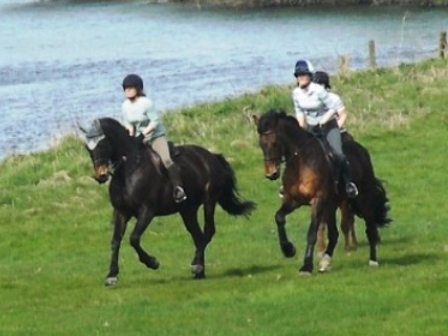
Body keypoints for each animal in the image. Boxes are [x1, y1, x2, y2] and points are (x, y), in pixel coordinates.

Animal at [81, 117, 256, 284]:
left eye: (102, 144)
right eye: (87, 148)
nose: (100, 175)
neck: (129, 169)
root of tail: (212, 156)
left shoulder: (147, 211)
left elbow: (134, 238)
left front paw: (152, 262)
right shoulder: (121, 212)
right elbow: (116, 241)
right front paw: (111, 275)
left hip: (209, 201)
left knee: (208, 231)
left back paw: (196, 265)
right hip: (187, 210)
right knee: (198, 235)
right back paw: (199, 271)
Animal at [254, 111, 390, 274]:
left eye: (274, 142)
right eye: (261, 144)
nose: (271, 173)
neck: (301, 162)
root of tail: (361, 149)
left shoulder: (317, 200)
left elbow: (312, 233)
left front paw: (306, 266)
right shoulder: (293, 199)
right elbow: (279, 217)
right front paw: (288, 249)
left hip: (362, 198)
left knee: (370, 227)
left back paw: (373, 260)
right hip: (331, 204)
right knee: (334, 234)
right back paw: (325, 261)